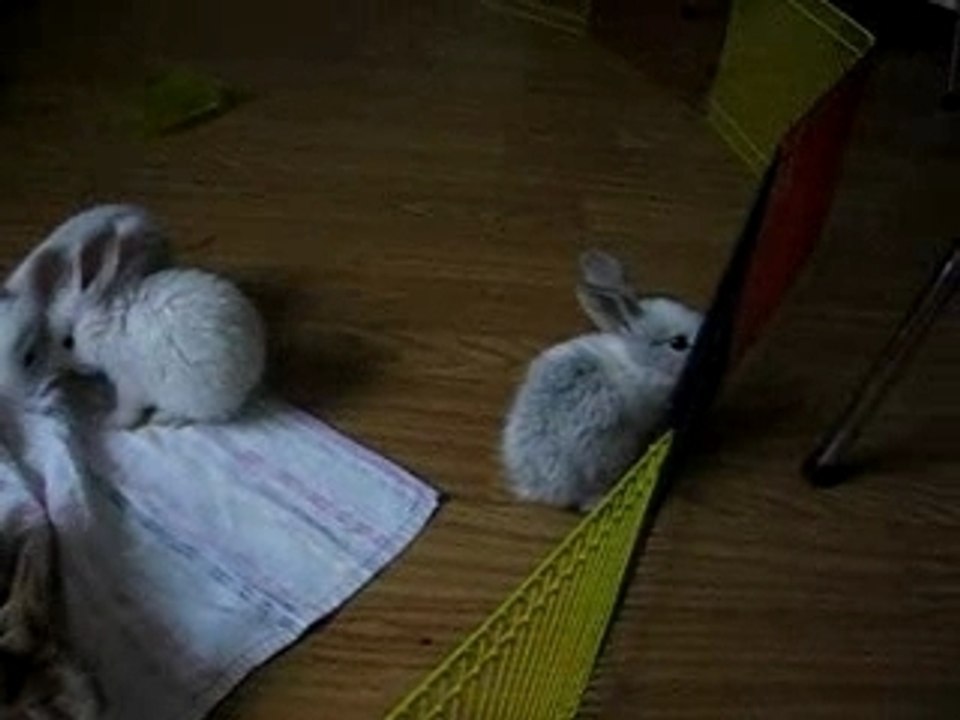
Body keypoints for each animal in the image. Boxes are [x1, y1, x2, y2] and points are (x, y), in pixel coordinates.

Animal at [56, 231, 267, 429]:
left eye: (68, 342)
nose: (60, 369)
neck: (105, 324)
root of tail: (250, 379)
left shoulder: (128, 382)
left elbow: (128, 409)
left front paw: (111, 422)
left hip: (190, 394)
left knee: (203, 416)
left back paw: (163, 418)